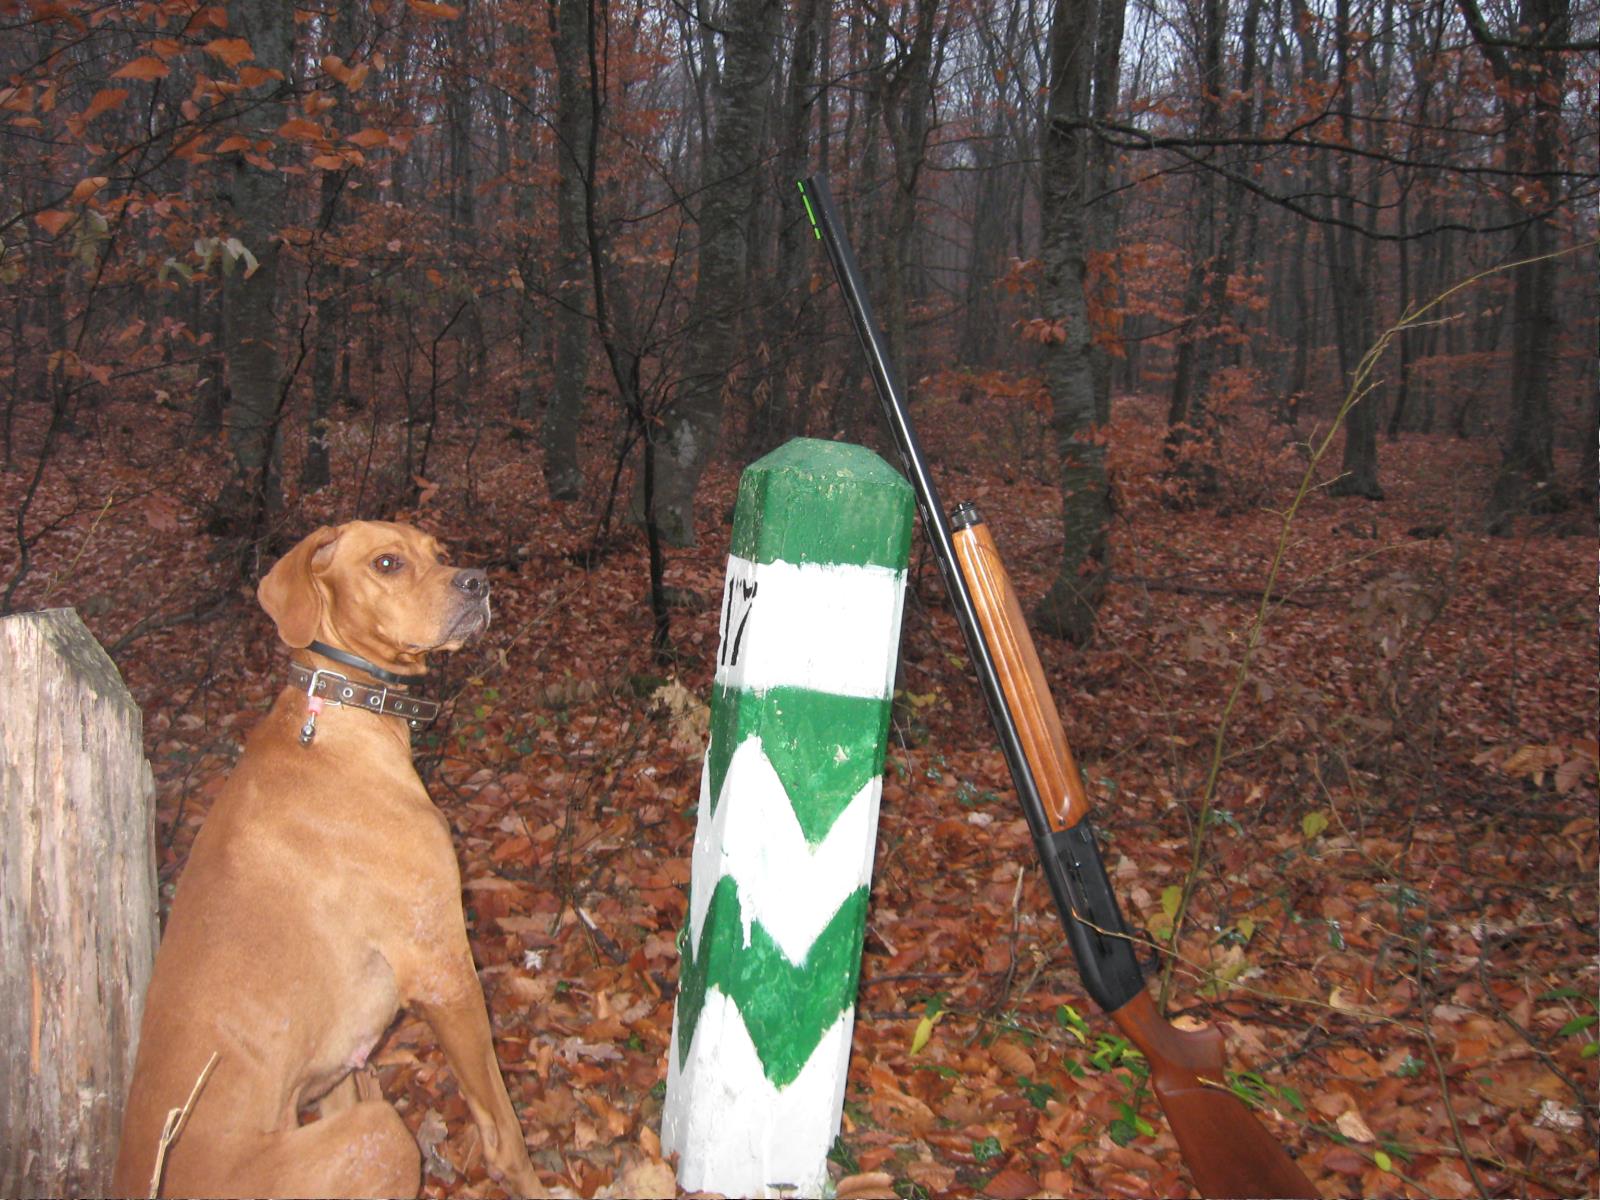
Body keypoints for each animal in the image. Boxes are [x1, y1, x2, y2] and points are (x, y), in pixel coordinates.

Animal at [113, 521, 550, 1198]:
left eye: (441, 554)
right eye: (388, 563)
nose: (477, 581)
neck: (342, 713)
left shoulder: (343, 1066)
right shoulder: (443, 968)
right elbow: (503, 1131)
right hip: (381, 1138)